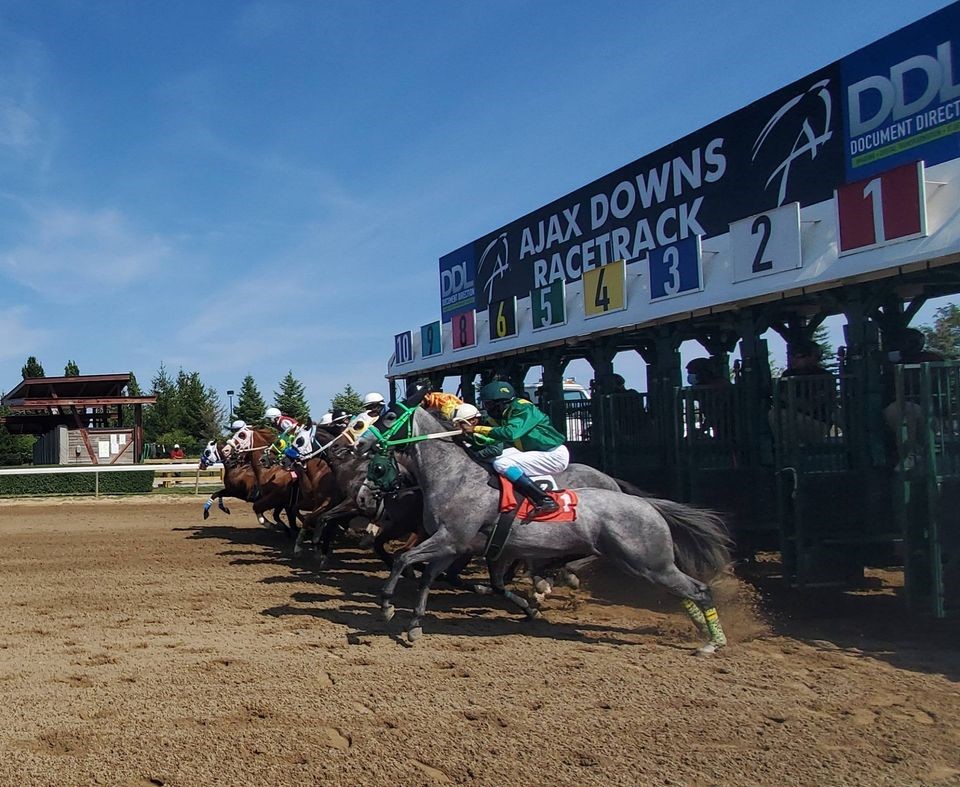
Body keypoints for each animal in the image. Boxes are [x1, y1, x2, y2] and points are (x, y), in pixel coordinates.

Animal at [378, 410, 732, 656]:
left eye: (390, 416)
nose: (371, 440)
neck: (455, 476)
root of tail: (647, 505)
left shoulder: (451, 538)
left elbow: (404, 559)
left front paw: (387, 605)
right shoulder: (453, 544)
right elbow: (427, 576)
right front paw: (414, 625)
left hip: (647, 561)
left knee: (698, 590)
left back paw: (712, 643)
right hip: (644, 562)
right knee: (684, 591)